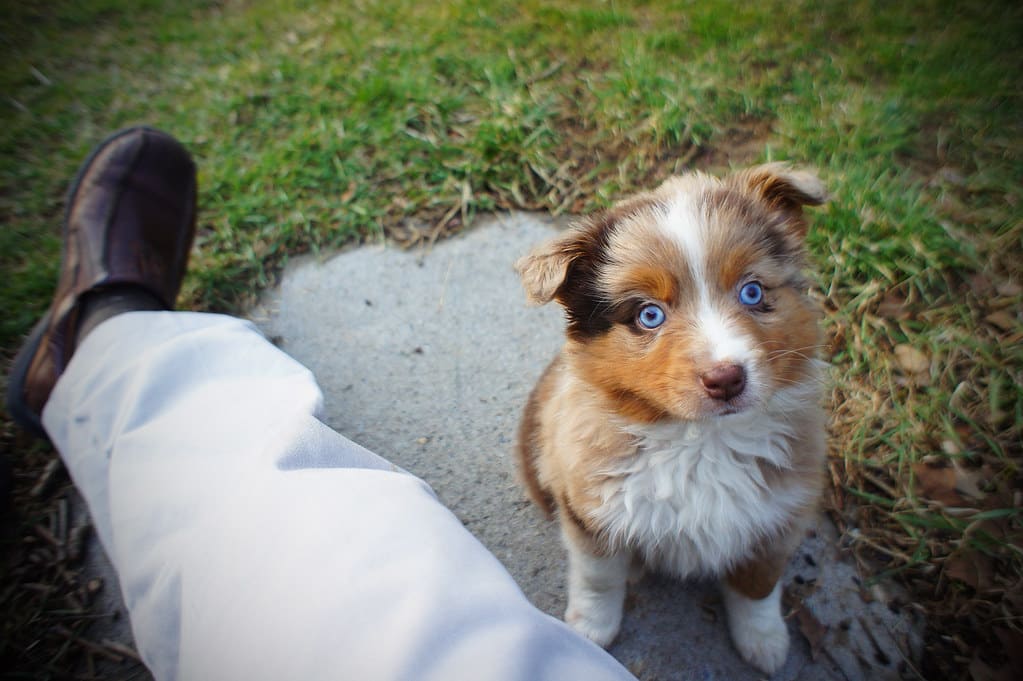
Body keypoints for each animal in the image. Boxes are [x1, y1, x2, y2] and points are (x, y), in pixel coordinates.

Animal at [515, 161, 826, 670]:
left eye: (752, 291)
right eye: (649, 315)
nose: (726, 378)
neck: (701, 442)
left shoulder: (779, 516)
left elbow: (757, 587)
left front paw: (763, 642)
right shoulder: (590, 512)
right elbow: (599, 578)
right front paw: (590, 631)